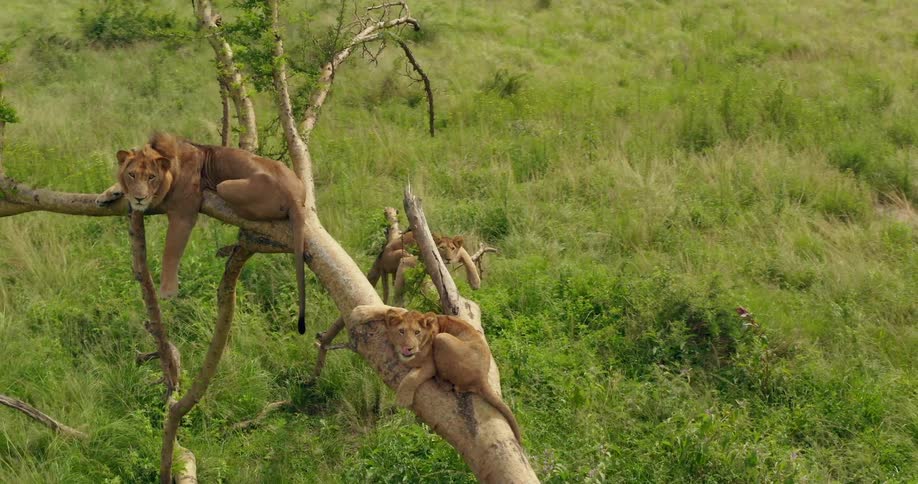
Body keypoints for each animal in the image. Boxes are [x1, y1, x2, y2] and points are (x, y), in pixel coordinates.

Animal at [96, 133, 310, 334]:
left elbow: (170, 252)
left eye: (151, 177)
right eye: (131, 175)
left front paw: (167, 290)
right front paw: (107, 194)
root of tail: (296, 196)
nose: (139, 198)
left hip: (227, 186)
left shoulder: (184, 212)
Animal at [350, 305, 521, 442]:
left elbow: (412, 377)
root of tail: (482, 378)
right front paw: (360, 312)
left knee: (453, 386)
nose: (408, 348)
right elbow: (392, 308)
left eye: (417, 332)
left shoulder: (428, 363)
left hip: (443, 338)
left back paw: (441, 381)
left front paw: (402, 399)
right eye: (401, 331)